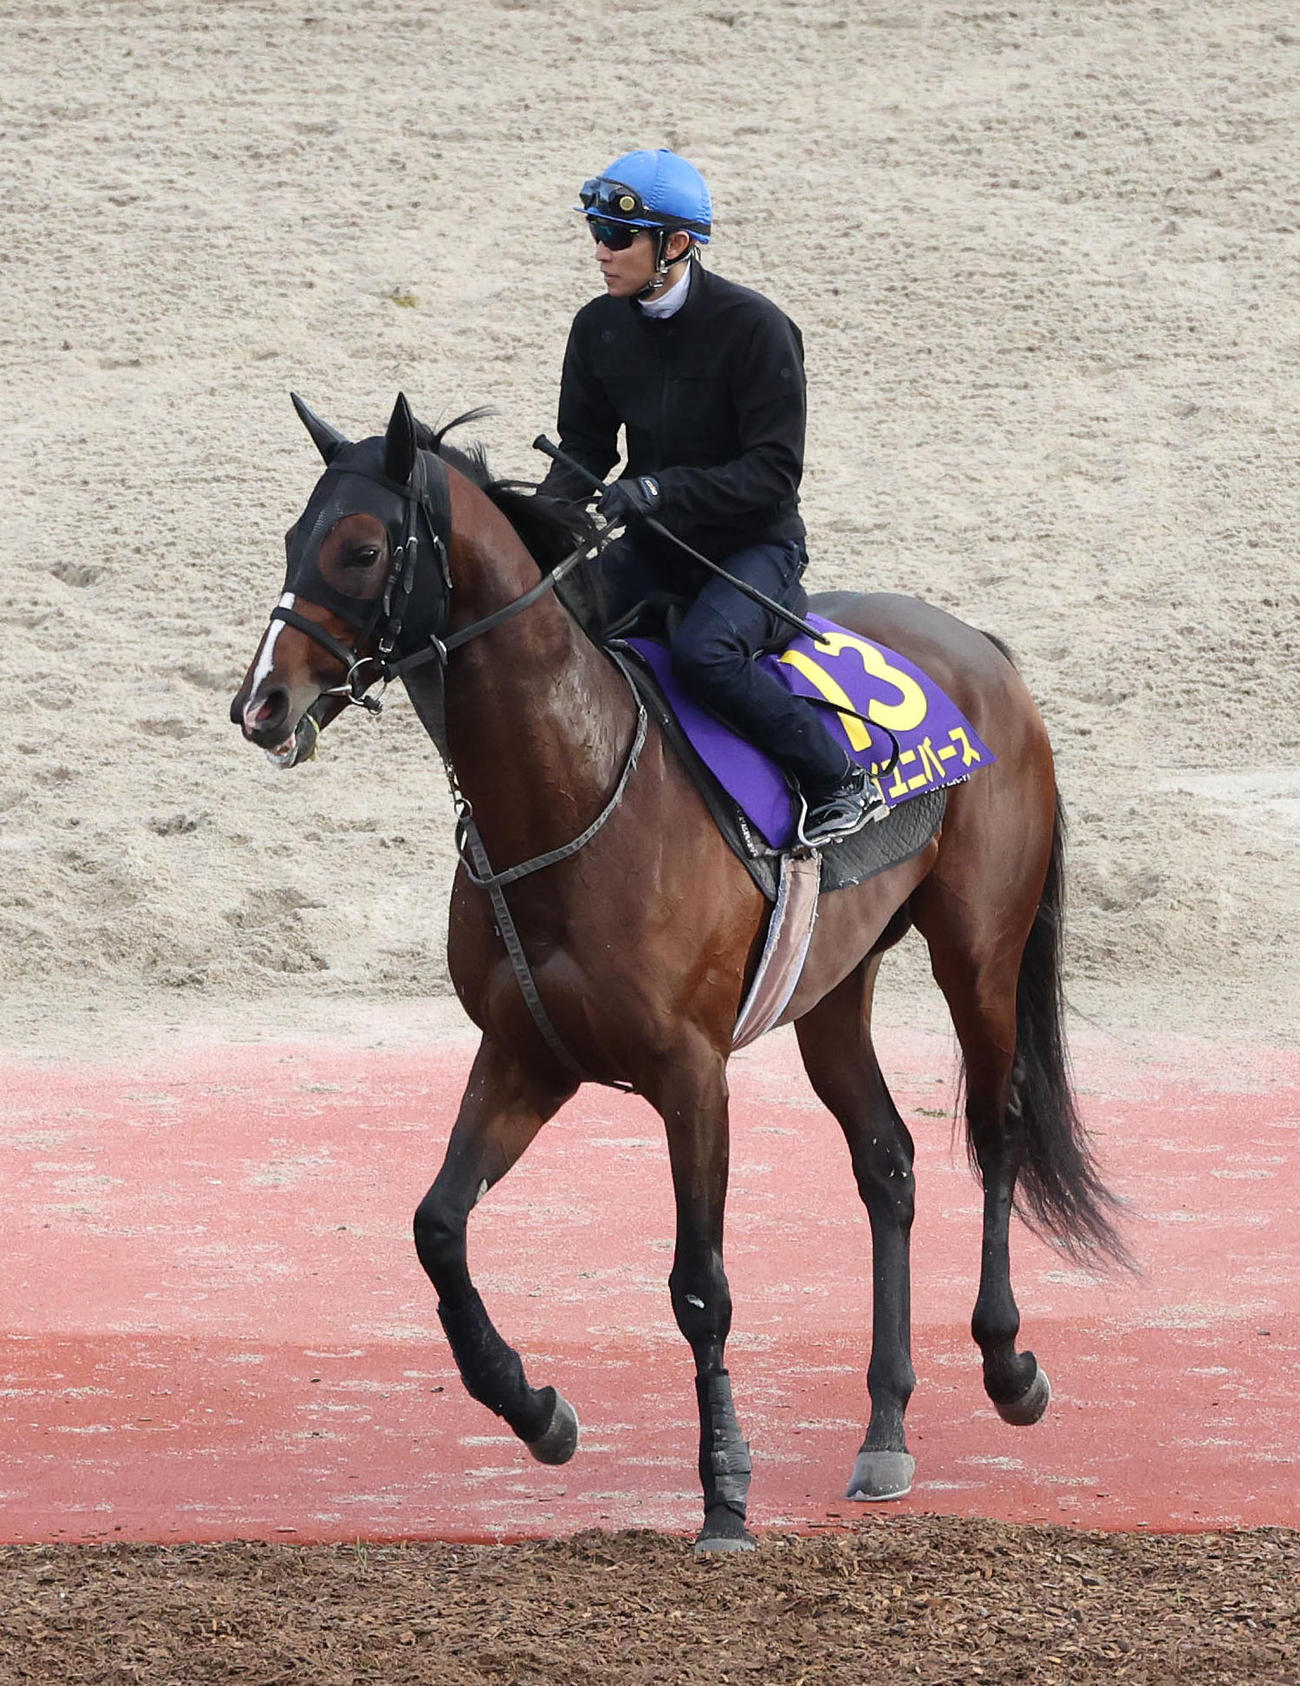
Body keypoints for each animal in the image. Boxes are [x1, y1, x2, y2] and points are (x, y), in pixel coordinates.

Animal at [231, 393, 1125, 1553]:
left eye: (363, 548)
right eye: (295, 537)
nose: (261, 702)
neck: (568, 794)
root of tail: (982, 647)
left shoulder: (691, 1075)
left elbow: (700, 1287)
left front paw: (725, 1491)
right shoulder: (525, 1055)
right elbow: (437, 1230)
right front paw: (535, 1410)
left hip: (979, 953)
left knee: (1000, 1129)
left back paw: (1009, 1366)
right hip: (832, 991)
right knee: (886, 1163)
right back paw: (884, 1427)